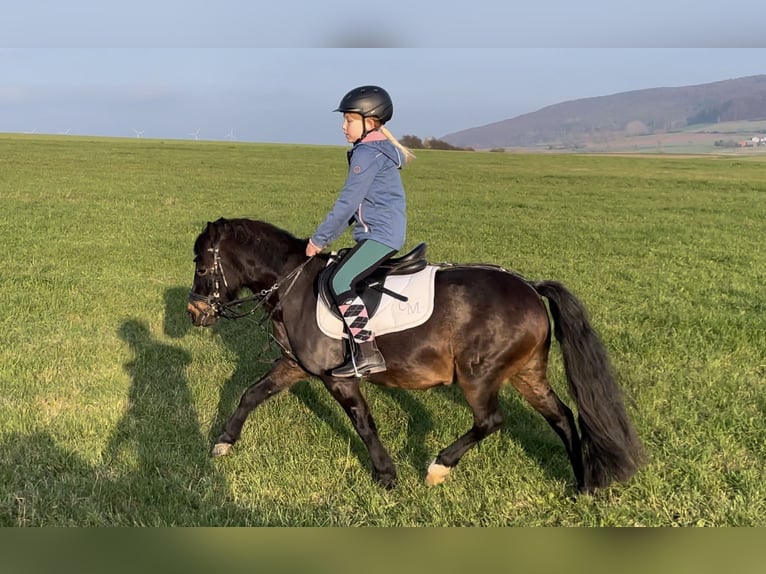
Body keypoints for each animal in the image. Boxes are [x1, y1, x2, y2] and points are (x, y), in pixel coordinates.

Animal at [188, 218, 648, 492]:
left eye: (201, 265)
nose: (194, 312)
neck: (293, 284)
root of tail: (531, 289)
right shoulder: (294, 365)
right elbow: (251, 393)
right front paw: (224, 442)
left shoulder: (339, 377)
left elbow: (363, 423)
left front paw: (386, 475)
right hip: (527, 373)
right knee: (563, 417)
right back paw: (583, 485)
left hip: (479, 375)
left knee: (491, 421)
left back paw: (439, 467)